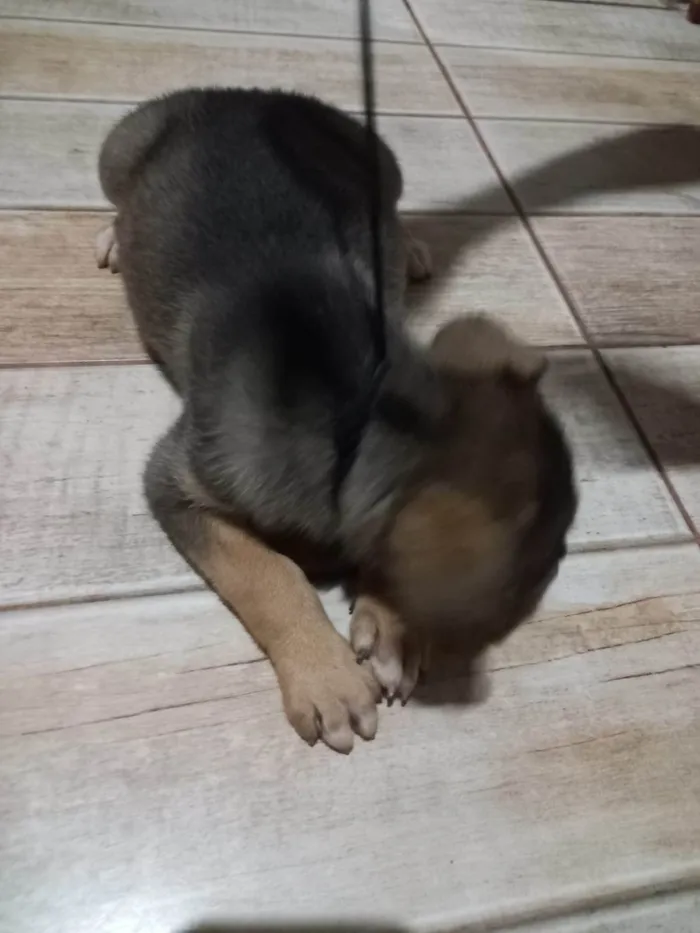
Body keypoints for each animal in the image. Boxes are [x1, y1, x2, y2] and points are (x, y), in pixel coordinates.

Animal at [96, 87, 577, 753]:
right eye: (546, 560)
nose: (566, 558)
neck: (361, 409)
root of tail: (248, 95)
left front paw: (393, 631)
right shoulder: (175, 481)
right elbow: (270, 572)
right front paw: (326, 677)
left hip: (384, 164)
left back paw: (411, 248)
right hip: (117, 150)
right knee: (117, 198)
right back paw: (114, 234)